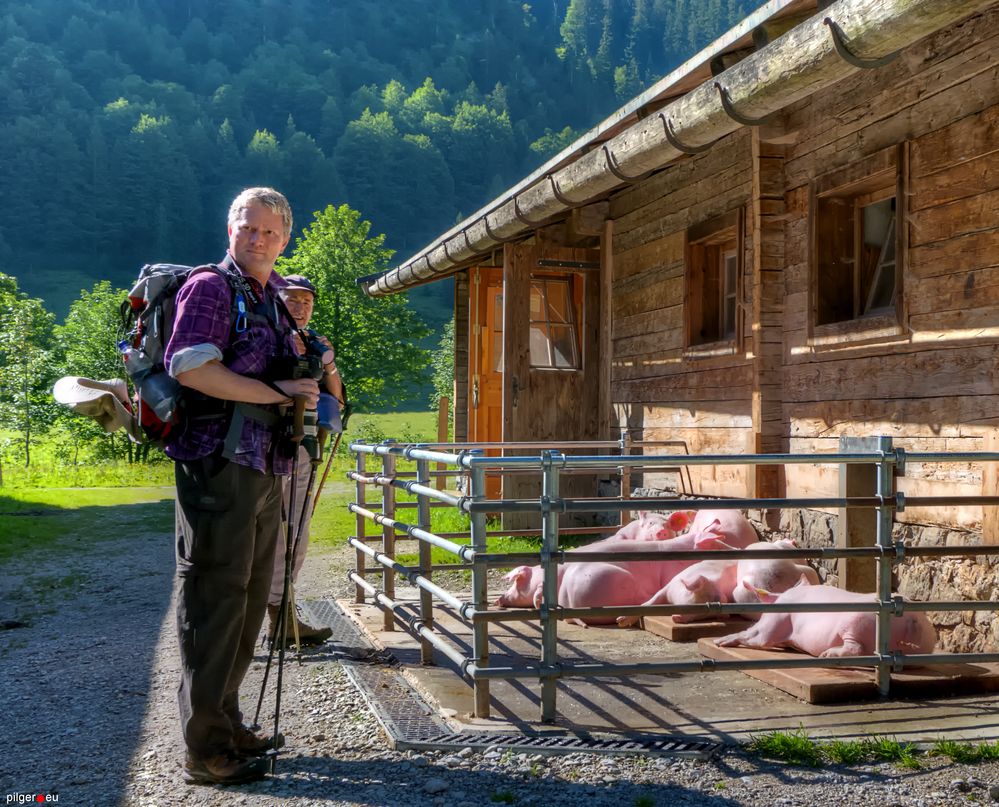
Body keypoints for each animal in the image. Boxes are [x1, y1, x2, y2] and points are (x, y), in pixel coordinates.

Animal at [720, 584, 936, 660]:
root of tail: (913, 619)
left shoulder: (776, 619)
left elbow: (756, 636)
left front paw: (719, 642)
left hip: (857, 622)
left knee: (856, 648)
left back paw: (826, 655)